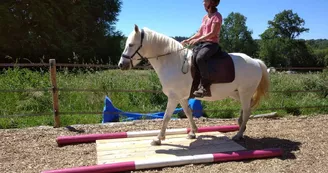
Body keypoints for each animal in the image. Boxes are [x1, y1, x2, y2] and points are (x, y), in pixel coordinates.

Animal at [118, 25, 270, 145]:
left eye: (131, 44)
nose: (121, 64)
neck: (173, 61)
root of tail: (255, 61)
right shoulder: (181, 97)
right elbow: (188, 112)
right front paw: (193, 132)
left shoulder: (173, 97)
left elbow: (166, 117)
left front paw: (158, 139)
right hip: (236, 93)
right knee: (246, 107)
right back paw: (241, 127)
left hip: (244, 92)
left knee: (247, 110)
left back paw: (238, 134)